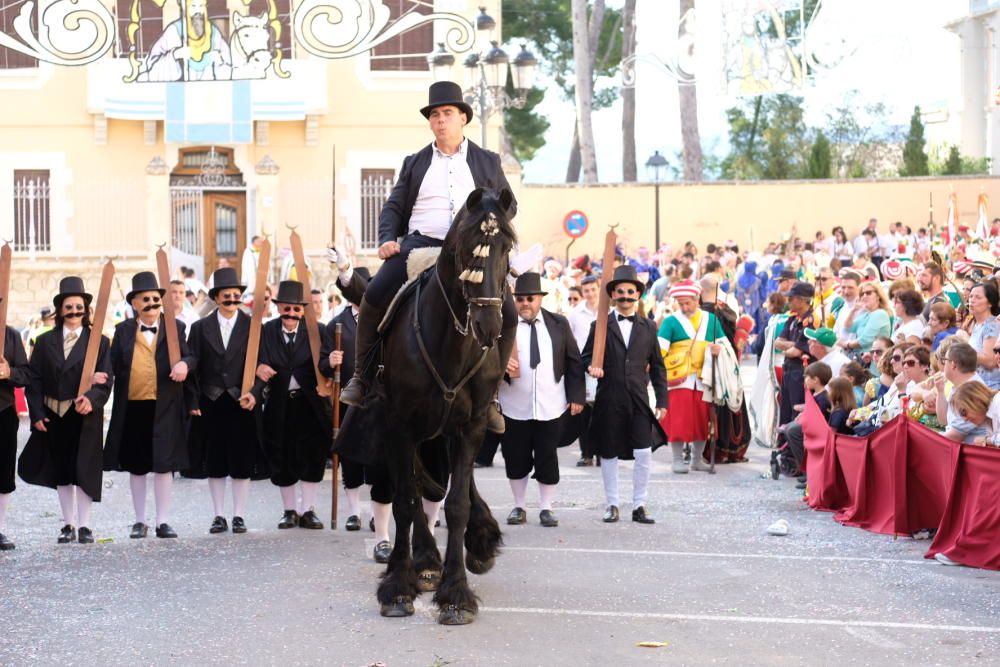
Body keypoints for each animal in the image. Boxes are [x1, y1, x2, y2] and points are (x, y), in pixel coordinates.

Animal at [374, 188, 516, 628]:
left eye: (507, 247)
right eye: (468, 249)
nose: (489, 325)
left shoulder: (470, 425)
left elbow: (457, 504)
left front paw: (456, 594)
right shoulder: (398, 425)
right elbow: (405, 499)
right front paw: (398, 586)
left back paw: (477, 541)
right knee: (415, 485)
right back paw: (423, 562)